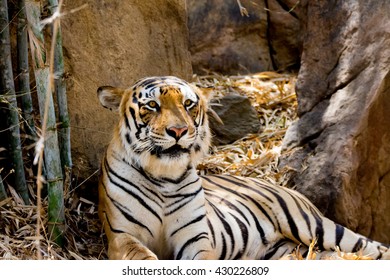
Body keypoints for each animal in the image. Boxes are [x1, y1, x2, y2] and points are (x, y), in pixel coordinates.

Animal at [95, 75, 390, 260]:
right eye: (152, 105)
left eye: (188, 104)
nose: (178, 131)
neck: (164, 176)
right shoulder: (122, 236)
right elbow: (144, 256)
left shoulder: (196, 237)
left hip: (314, 225)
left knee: (372, 248)